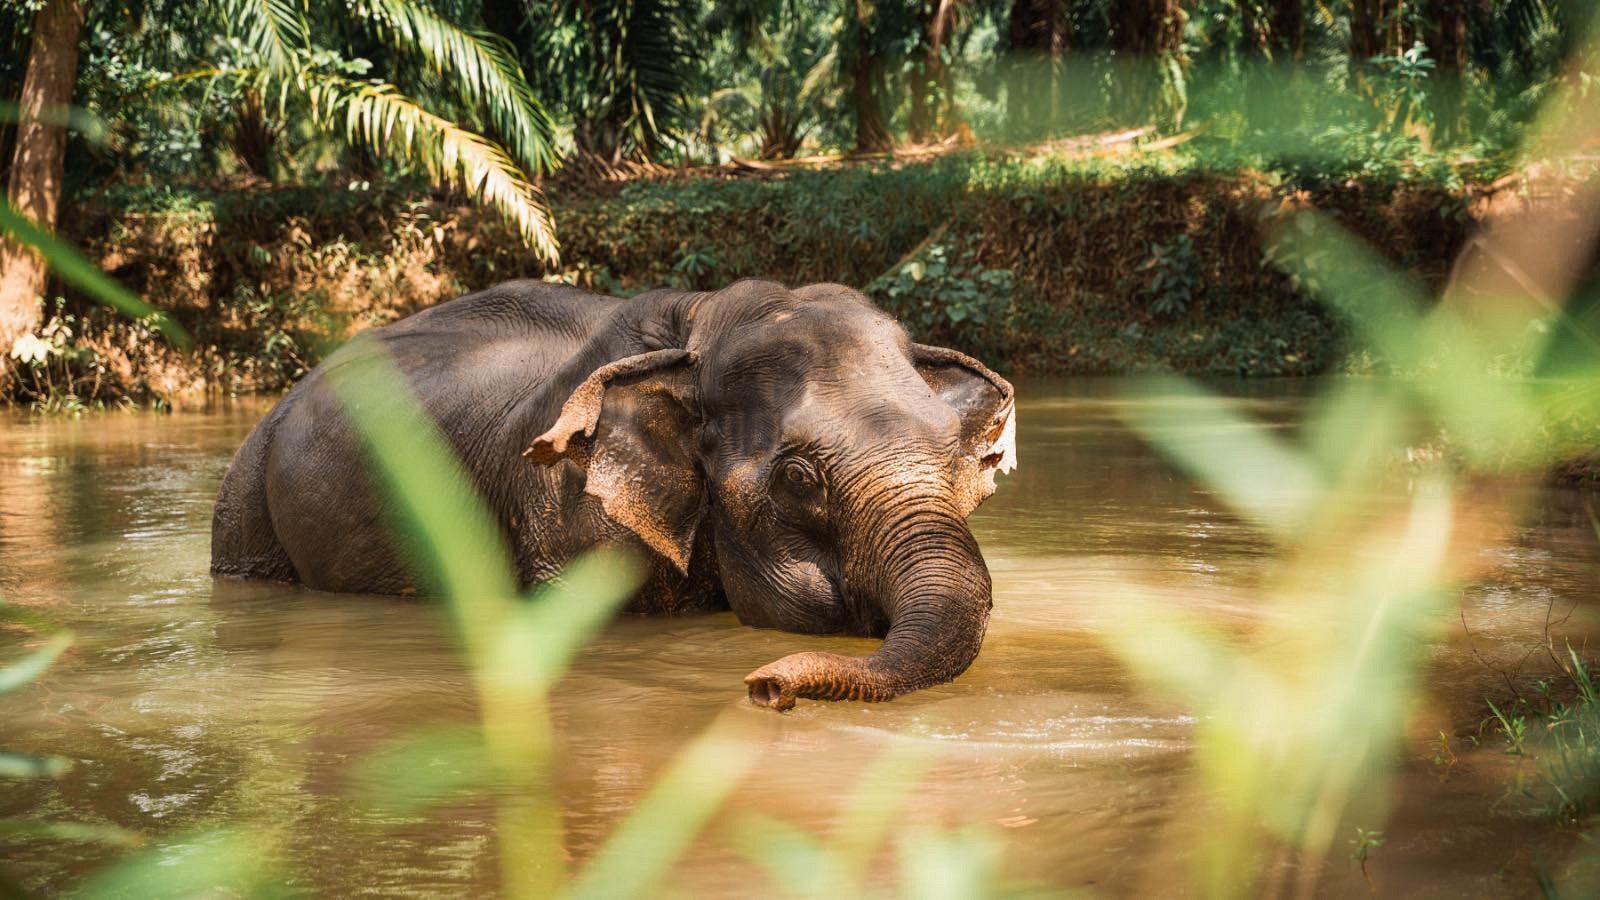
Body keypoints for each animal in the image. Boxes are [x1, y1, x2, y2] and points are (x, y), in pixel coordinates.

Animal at [209, 280, 1011, 707]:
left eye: (959, 456)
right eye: (798, 478)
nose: (764, 687)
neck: (696, 333)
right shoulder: (566, 506)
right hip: (246, 495)